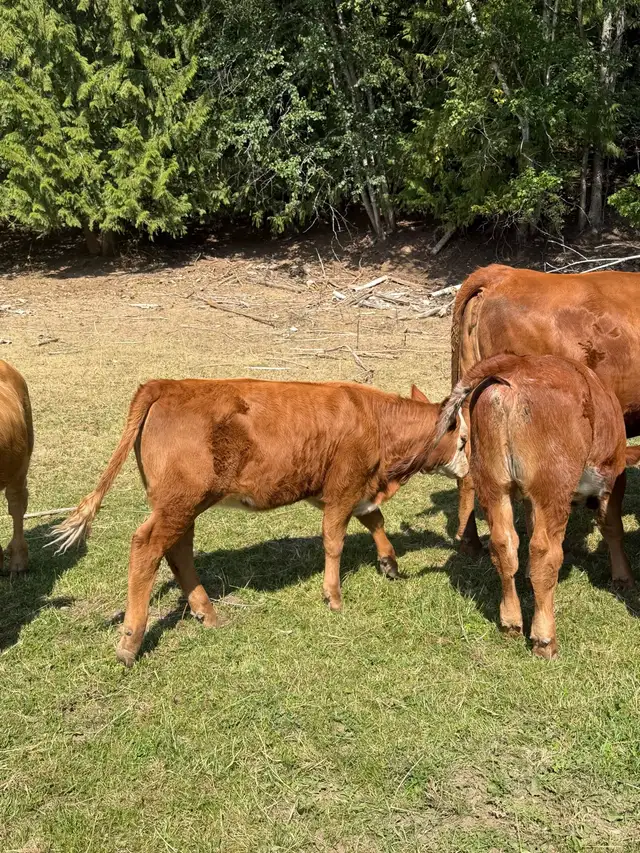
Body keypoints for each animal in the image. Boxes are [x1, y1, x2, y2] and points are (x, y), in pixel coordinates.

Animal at [51, 378, 468, 666]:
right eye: (463, 439)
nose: (467, 467)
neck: (375, 420)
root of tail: (168, 383)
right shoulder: (344, 487)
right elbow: (334, 540)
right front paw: (333, 596)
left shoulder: (345, 489)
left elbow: (375, 520)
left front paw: (389, 562)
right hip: (179, 501)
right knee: (147, 547)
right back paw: (131, 641)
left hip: (181, 504)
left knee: (178, 550)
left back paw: (207, 613)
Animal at [435, 353, 630, 658]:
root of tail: (517, 366)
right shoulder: (613, 474)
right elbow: (612, 528)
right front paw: (623, 578)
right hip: (552, 489)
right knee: (545, 552)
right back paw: (544, 638)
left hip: (493, 484)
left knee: (504, 545)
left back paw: (511, 622)